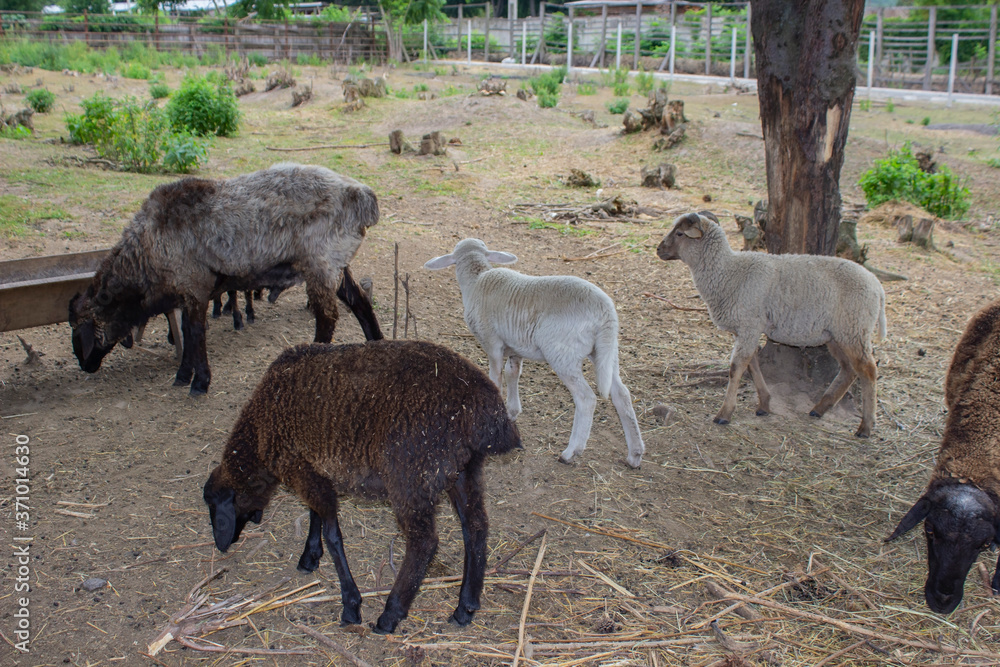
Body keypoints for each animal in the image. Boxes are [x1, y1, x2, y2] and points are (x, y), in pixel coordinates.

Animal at [68, 163, 381, 394]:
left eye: (81, 329)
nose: (84, 365)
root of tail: (362, 196)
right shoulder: (188, 292)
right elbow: (186, 331)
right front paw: (183, 375)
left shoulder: (195, 284)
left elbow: (196, 333)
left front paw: (199, 382)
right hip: (337, 262)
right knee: (360, 301)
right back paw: (378, 346)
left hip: (320, 261)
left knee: (327, 317)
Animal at [203, 339, 521, 634]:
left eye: (214, 508)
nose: (221, 545)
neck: (259, 430)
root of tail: (486, 411)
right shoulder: (312, 469)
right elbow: (316, 515)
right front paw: (310, 556)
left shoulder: (299, 468)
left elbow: (333, 534)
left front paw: (351, 604)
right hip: (463, 470)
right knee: (476, 526)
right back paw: (465, 607)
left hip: (411, 476)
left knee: (424, 542)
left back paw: (390, 615)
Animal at [424, 238, 645, 468]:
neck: (477, 280)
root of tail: (605, 312)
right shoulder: (515, 347)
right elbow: (512, 374)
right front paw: (512, 412)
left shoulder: (492, 342)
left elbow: (495, 378)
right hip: (606, 351)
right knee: (621, 394)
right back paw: (635, 454)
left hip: (562, 353)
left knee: (586, 398)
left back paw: (571, 452)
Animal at [656, 211, 887, 438]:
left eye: (679, 234)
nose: (658, 249)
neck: (730, 271)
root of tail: (877, 285)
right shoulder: (747, 329)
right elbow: (752, 365)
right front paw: (764, 405)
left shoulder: (749, 324)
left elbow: (736, 368)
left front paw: (724, 414)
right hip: (836, 334)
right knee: (849, 370)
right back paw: (820, 409)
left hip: (854, 328)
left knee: (868, 370)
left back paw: (866, 426)